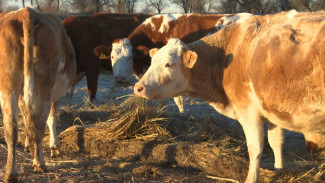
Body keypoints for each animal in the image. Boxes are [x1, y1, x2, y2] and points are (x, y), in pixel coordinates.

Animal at [0, 7, 76, 182]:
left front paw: (28, 146)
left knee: (12, 127)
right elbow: (51, 118)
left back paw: (11, 173)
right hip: (45, 84)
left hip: (8, 84)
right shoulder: (55, 95)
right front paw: (54, 147)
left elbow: (26, 116)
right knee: (39, 124)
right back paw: (40, 164)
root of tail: (25, 12)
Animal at [133, 10, 324, 183]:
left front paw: (251, 178)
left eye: (169, 64)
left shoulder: (248, 111)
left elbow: (255, 148)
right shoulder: (271, 112)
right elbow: (276, 142)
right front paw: (279, 170)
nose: (139, 87)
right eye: (152, 62)